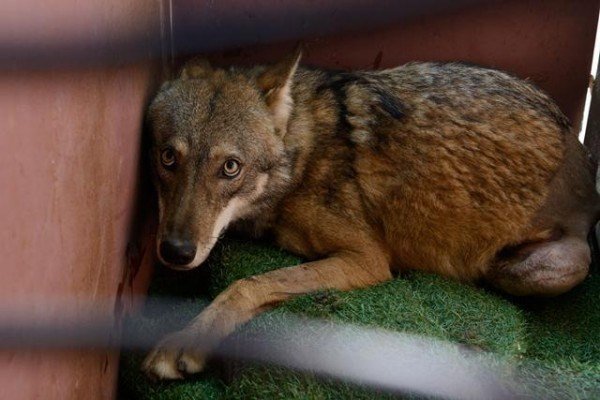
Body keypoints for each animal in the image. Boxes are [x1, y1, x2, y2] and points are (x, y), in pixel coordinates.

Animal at [142, 48, 600, 380]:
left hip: (534, 269)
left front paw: (186, 341)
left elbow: (247, 285)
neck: (302, 157)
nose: (176, 252)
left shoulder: (367, 259)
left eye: (230, 167)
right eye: (168, 158)